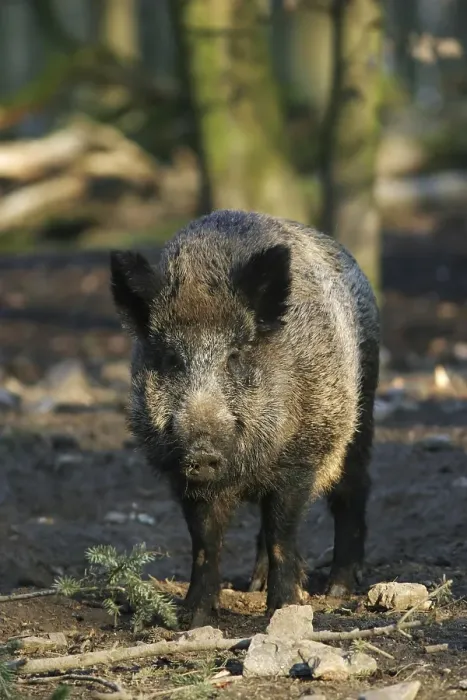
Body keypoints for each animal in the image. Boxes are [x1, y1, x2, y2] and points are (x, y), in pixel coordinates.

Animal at [110, 209, 380, 628]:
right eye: (172, 359)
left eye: (235, 355)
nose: (201, 452)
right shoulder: (182, 477)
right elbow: (205, 542)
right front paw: (192, 618)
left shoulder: (299, 459)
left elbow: (282, 532)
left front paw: (284, 609)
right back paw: (254, 585)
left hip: (360, 420)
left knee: (352, 492)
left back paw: (337, 589)